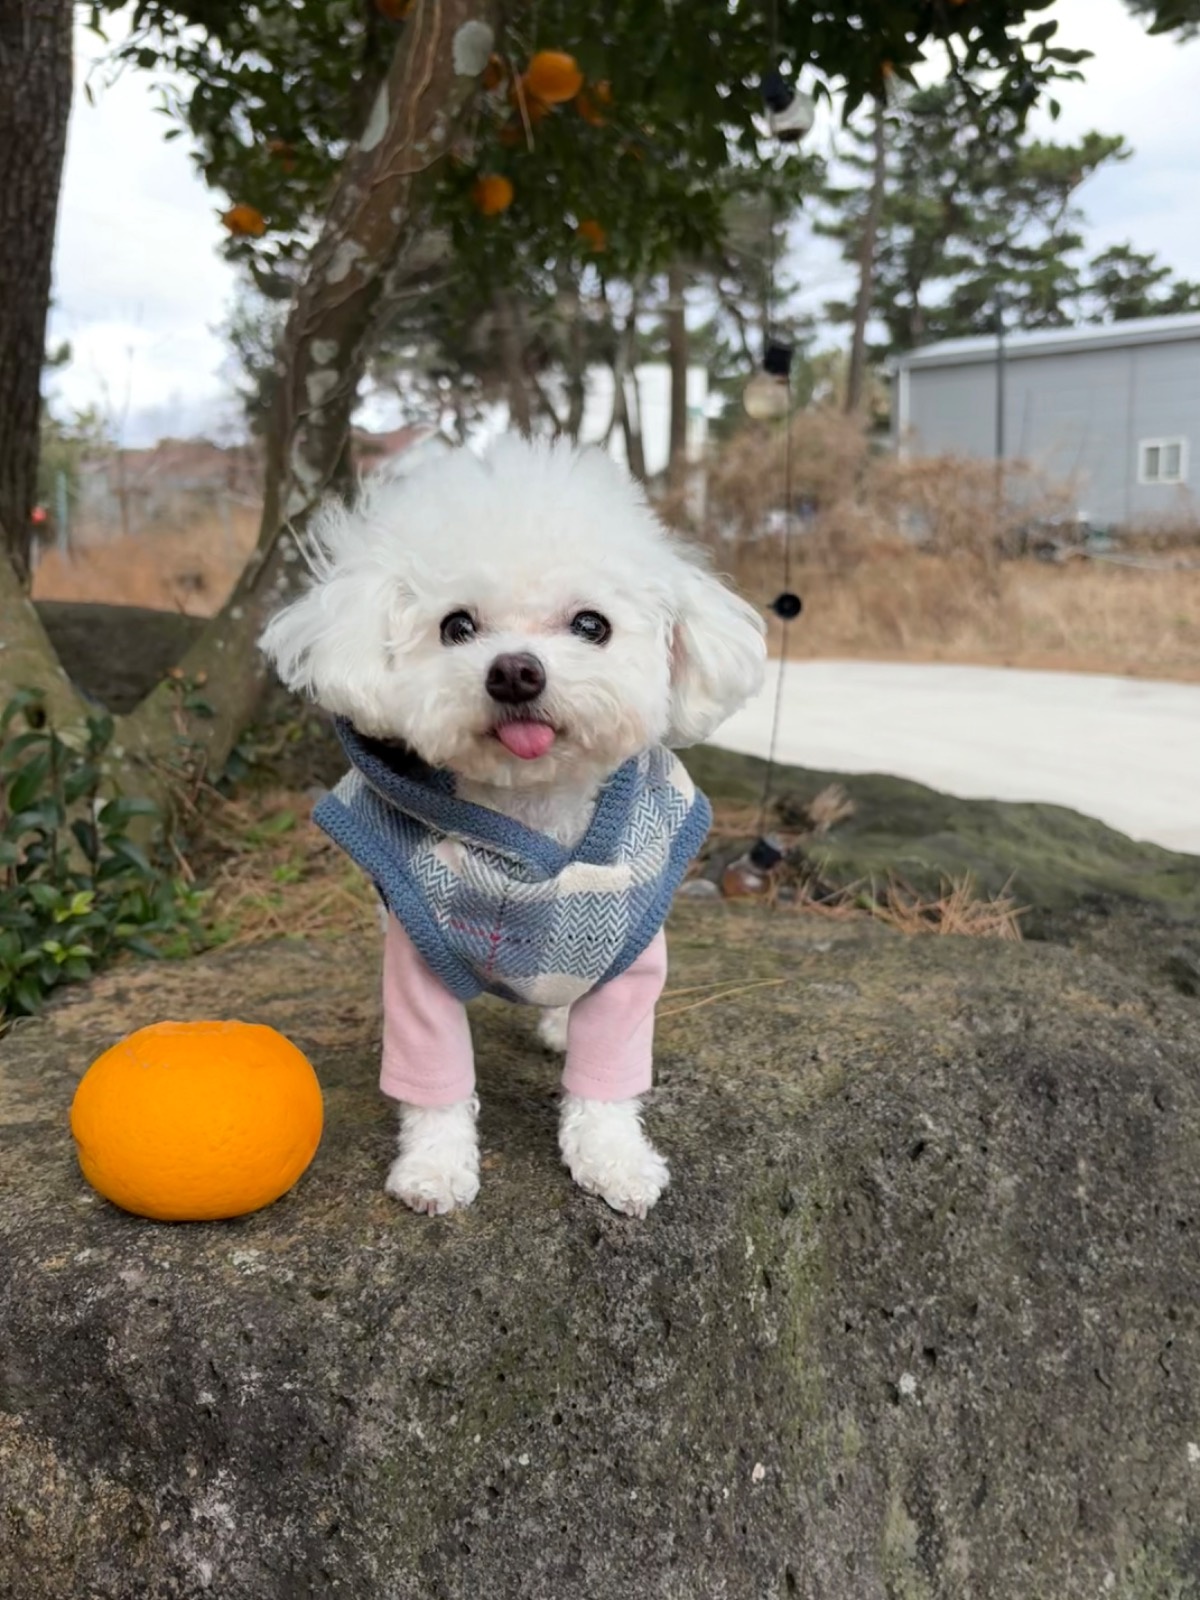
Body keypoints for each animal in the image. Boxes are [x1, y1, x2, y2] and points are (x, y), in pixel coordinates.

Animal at [264, 435, 771, 1209]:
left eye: (591, 625)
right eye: (457, 626)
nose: (514, 672)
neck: (532, 811)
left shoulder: (631, 961)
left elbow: (608, 1077)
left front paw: (614, 1159)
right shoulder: (418, 953)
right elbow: (434, 1077)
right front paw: (435, 1167)